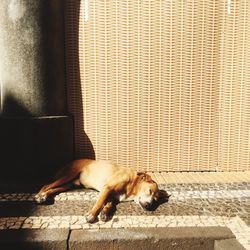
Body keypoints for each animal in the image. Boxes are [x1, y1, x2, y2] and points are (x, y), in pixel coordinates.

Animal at [35, 159, 169, 224]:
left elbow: (109, 204)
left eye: (156, 200)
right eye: (149, 191)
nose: (150, 206)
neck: (132, 184)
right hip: (68, 176)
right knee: (46, 185)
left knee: (53, 189)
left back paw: (45, 196)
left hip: (69, 185)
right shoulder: (107, 188)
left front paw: (105, 213)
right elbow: (99, 203)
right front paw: (91, 215)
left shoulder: (112, 196)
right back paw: (40, 196)